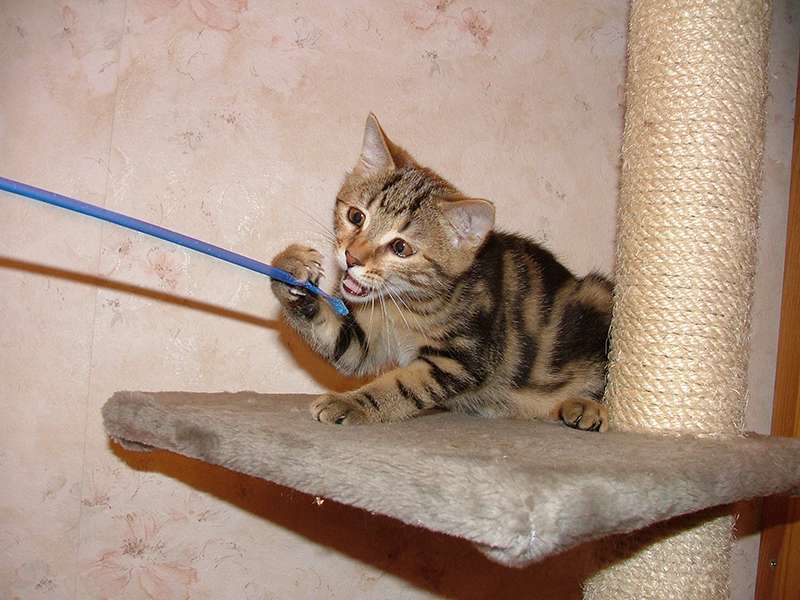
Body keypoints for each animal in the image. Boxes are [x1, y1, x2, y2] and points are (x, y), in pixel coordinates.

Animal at [271, 114, 612, 431]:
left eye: (400, 248)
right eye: (356, 216)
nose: (351, 257)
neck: (405, 304)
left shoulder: (461, 357)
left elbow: (402, 385)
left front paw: (351, 402)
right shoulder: (364, 343)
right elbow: (335, 337)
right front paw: (290, 269)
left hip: (598, 295)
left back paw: (587, 407)